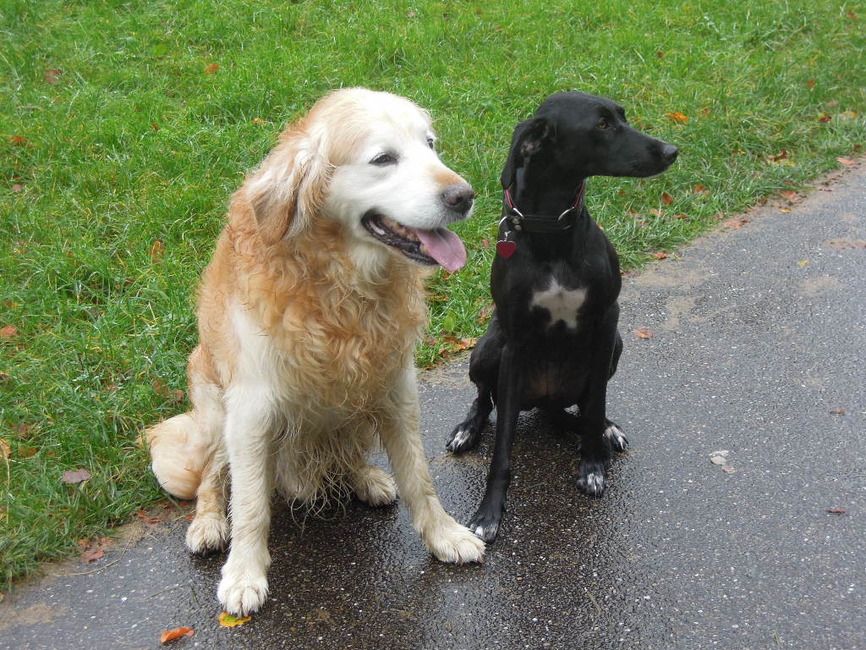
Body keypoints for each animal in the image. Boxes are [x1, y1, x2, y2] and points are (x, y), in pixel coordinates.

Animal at [145, 88, 485, 616]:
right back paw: (208, 523)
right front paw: (244, 574)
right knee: (212, 476)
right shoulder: (252, 409)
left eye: (430, 145)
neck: (340, 287)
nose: (463, 195)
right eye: (383, 158)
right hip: (215, 409)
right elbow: (250, 506)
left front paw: (445, 535)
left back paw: (365, 477)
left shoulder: (396, 388)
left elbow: (419, 477)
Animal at [446, 91, 679, 542]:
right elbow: (502, 445)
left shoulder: (607, 321)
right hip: (489, 348)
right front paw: (488, 512)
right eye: (602, 125)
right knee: (485, 399)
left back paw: (605, 429)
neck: (551, 231)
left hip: (614, 348)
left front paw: (592, 463)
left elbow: (595, 407)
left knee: (584, 409)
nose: (671, 150)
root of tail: (546, 402)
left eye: (622, 116)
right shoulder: (514, 342)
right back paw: (468, 429)